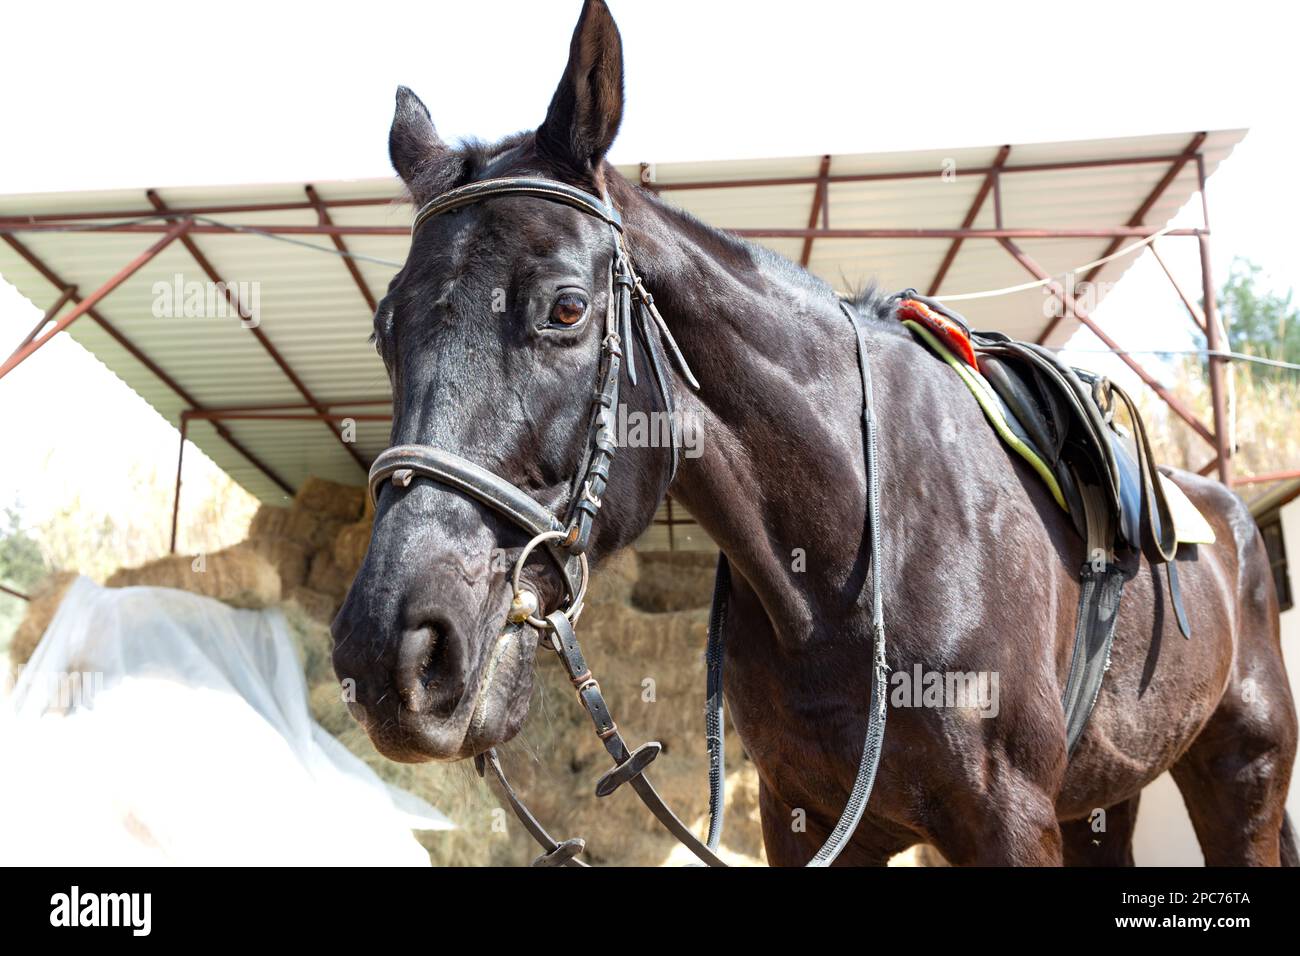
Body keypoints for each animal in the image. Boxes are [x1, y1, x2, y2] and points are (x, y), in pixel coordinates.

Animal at [330, 0, 1294, 868]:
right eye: (383, 332)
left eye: (566, 309)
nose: (389, 650)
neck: (855, 561)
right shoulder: (802, 816)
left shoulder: (1010, 819)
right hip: (1103, 800)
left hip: (1241, 775)